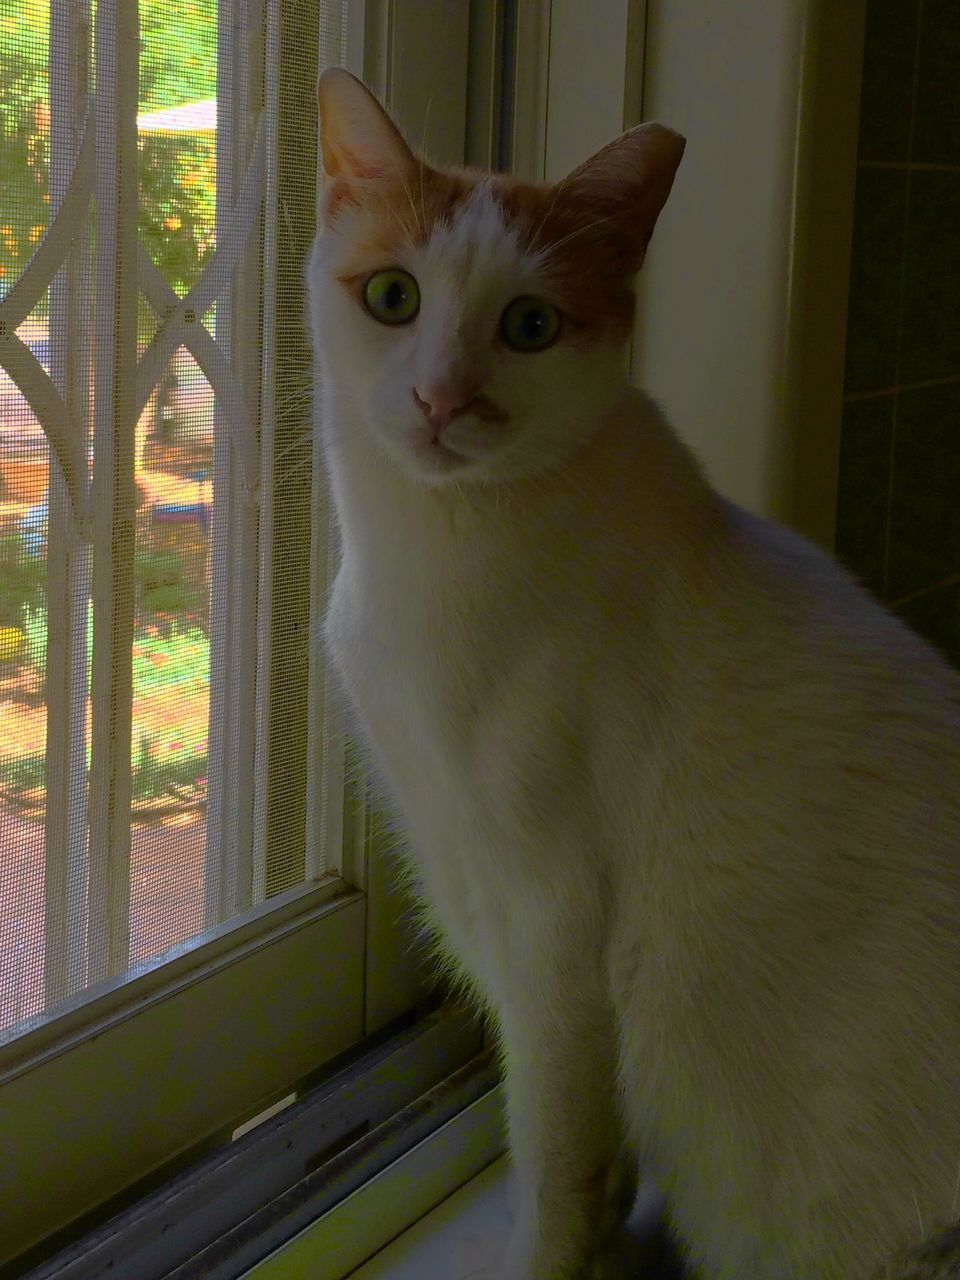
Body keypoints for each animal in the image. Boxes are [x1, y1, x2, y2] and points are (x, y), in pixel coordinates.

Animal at [308, 70, 960, 1280]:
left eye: (530, 326)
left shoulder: (553, 930)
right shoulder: (465, 876)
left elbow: (553, 1160)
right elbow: (594, 1170)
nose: (441, 402)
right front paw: (613, 1238)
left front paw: (548, 1260)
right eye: (392, 297)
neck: (423, 549)